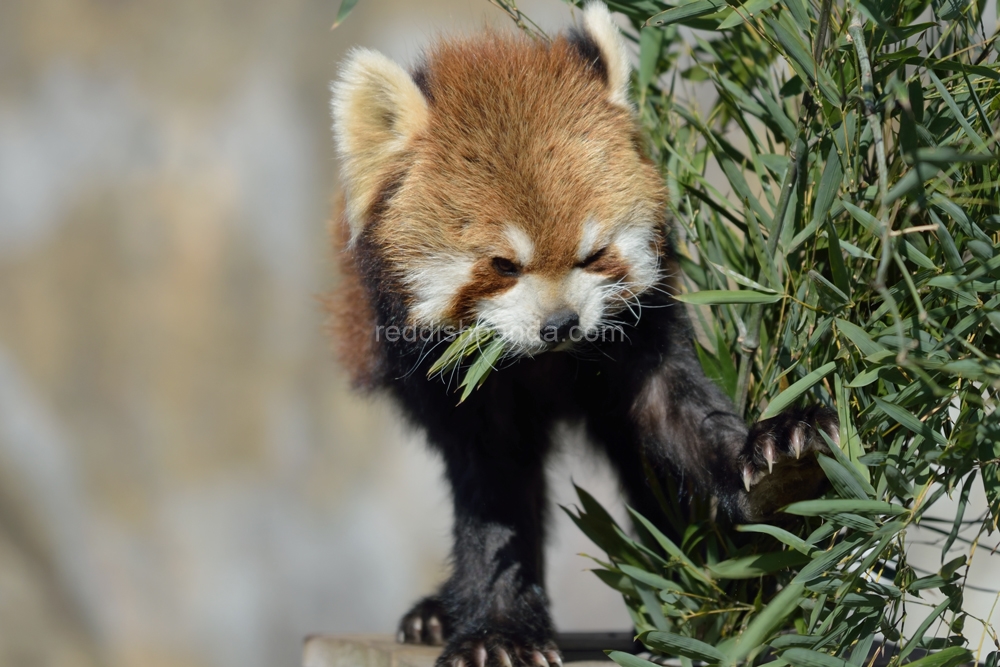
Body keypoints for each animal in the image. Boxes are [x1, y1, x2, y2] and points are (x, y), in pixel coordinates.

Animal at [328, 2, 836, 664]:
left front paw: (776, 458)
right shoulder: (450, 380)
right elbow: (494, 490)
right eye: (504, 266)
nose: (561, 325)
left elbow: (674, 416)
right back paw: (440, 612)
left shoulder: (643, 327)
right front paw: (496, 630)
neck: (541, 364)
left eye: (593, 255)